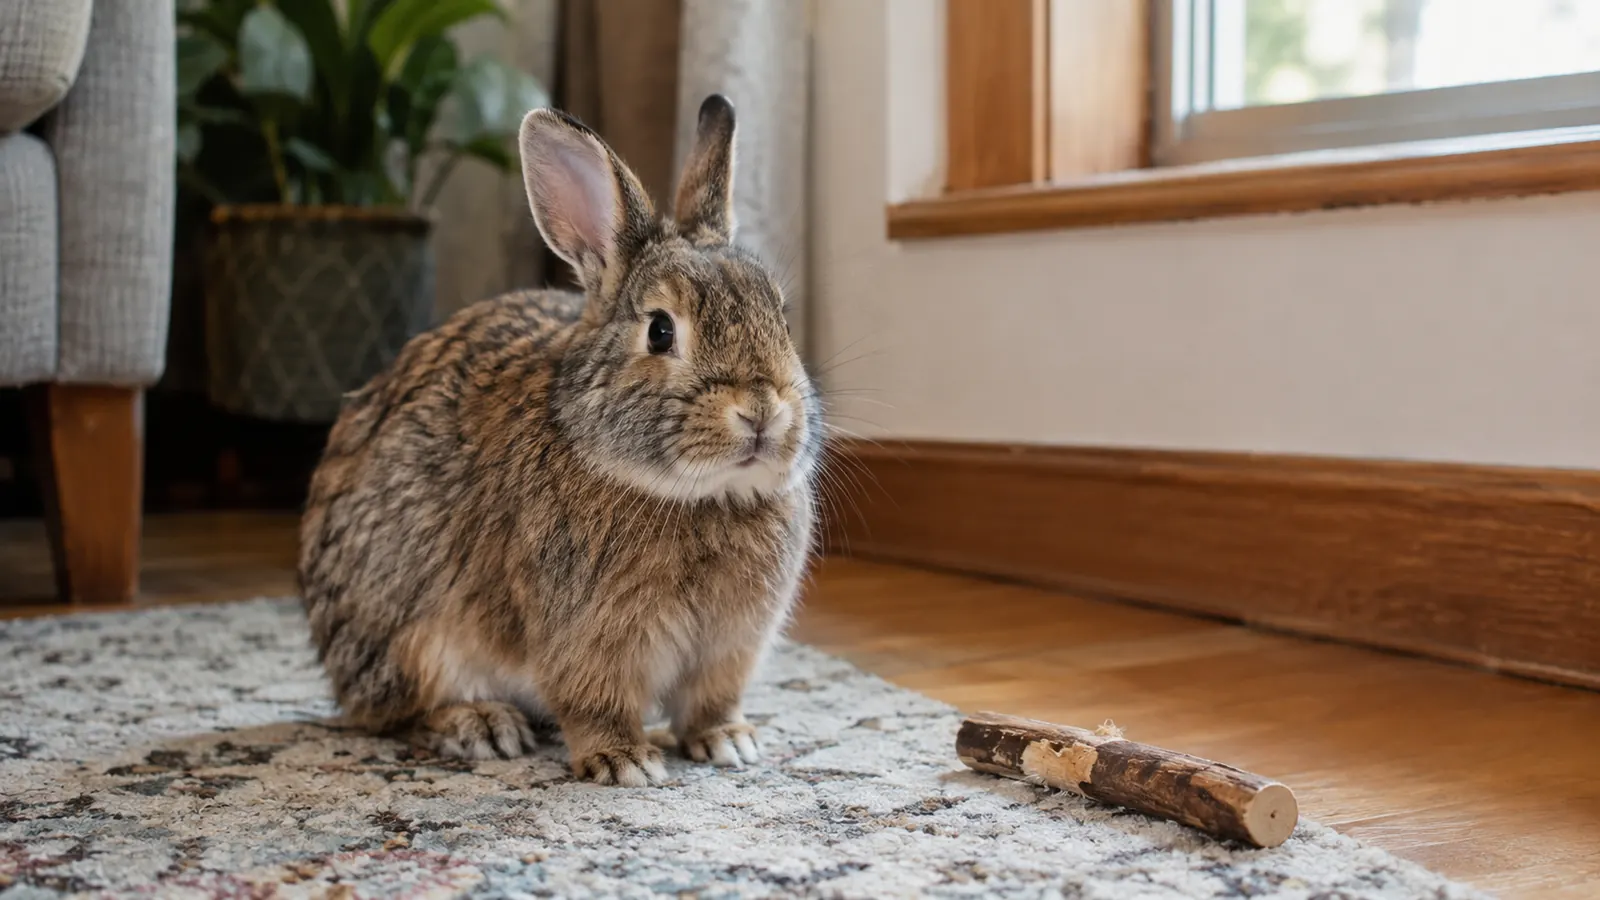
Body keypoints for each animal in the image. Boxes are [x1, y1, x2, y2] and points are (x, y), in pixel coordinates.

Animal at [297, 95, 822, 787]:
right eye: (660, 330)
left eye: (781, 315)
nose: (762, 411)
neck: (695, 495)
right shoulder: (585, 637)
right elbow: (594, 701)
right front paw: (626, 761)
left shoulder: (731, 645)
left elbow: (711, 700)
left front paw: (728, 742)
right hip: (411, 634)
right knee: (397, 710)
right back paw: (481, 725)